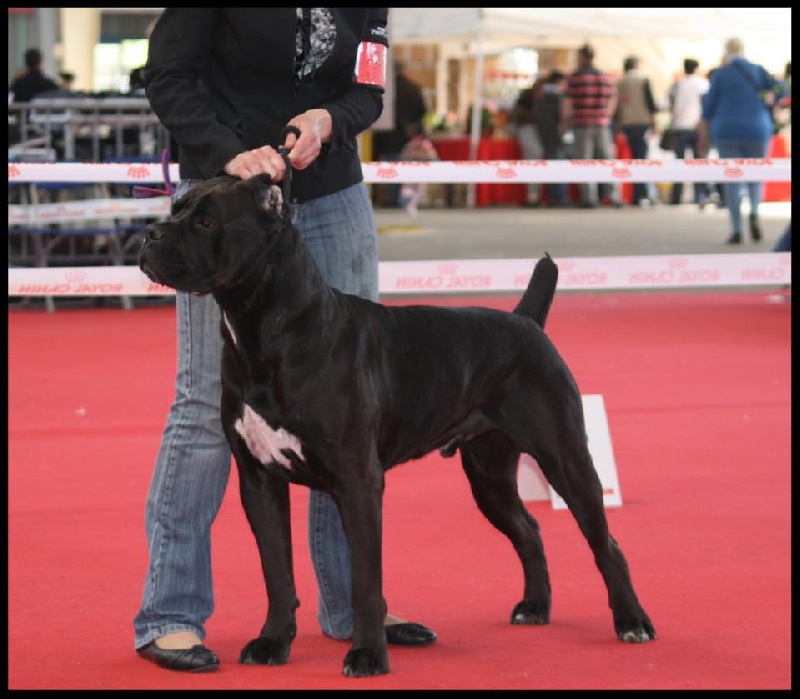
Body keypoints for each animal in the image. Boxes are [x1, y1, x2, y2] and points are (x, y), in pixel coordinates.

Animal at [139, 174, 656, 678]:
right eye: (175, 208)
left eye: (207, 222)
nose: (150, 233)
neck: (263, 329)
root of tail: (525, 322)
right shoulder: (260, 482)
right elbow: (277, 573)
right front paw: (273, 643)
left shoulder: (358, 481)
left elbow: (365, 580)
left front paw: (369, 654)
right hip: (489, 476)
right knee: (528, 530)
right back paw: (535, 606)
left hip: (566, 460)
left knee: (605, 543)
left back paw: (631, 621)